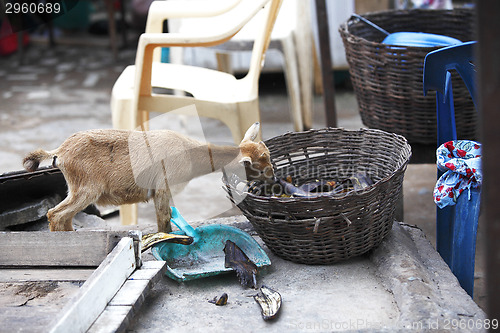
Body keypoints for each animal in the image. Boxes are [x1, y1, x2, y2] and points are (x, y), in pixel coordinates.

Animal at [22, 122, 274, 231]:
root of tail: (60, 152)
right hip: (85, 189)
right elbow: (163, 218)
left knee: (65, 217)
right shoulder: (163, 187)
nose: (274, 179)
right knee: (55, 214)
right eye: (260, 167)